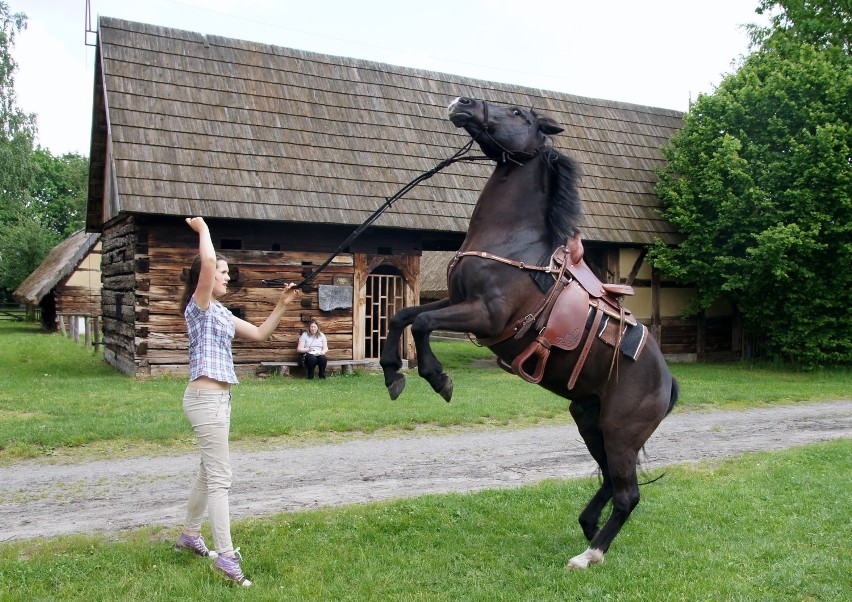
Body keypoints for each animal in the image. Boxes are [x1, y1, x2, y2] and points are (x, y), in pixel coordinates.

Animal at [380, 97, 680, 568]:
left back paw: (589, 555)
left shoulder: (486, 316)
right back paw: (588, 528)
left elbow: (423, 324)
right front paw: (393, 372)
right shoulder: (458, 302)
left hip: (620, 432)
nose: (462, 102)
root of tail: (666, 381)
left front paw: (438, 378)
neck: (511, 243)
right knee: (610, 481)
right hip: (588, 419)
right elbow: (404, 316)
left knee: (627, 494)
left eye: (518, 113)